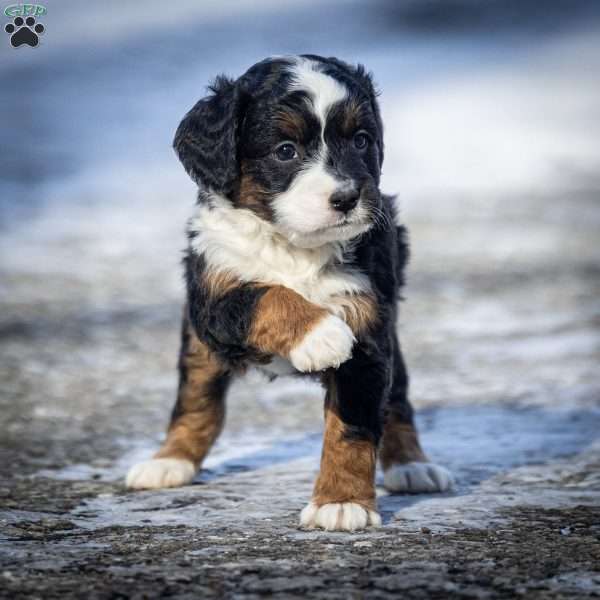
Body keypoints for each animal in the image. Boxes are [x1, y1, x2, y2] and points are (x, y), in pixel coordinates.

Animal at [129, 56, 452, 532]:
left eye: (361, 140)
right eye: (285, 150)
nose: (347, 197)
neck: (295, 246)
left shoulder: (369, 330)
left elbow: (352, 429)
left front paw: (342, 503)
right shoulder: (215, 297)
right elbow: (268, 296)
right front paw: (322, 335)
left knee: (396, 401)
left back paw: (413, 465)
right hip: (200, 345)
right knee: (196, 400)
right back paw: (168, 461)